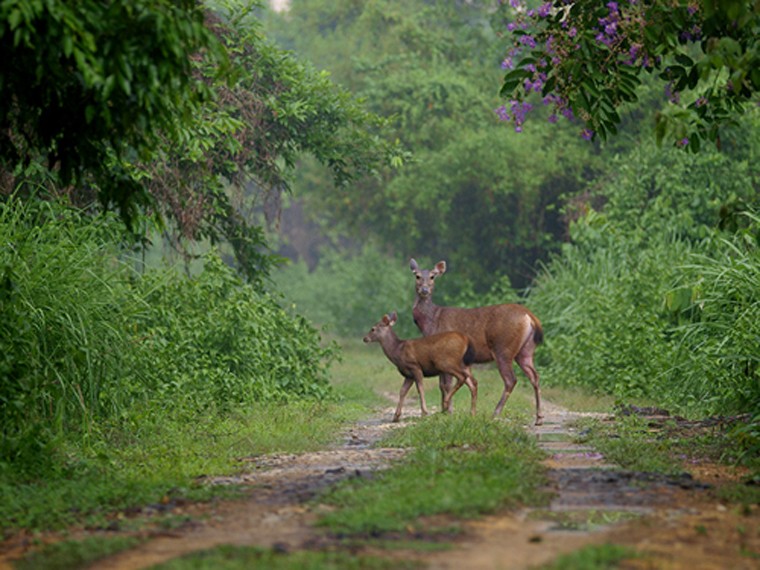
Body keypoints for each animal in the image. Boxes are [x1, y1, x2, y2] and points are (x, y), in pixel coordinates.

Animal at [412, 258, 544, 422]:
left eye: (432, 276)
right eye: (417, 276)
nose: (424, 290)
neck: (430, 322)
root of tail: (530, 316)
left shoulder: (445, 352)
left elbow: (445, 384)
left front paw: (448, 412)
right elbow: (442, 385)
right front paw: (445, 411)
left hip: (503, 347)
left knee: (511, 380)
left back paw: (495, 413)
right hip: (525, 350)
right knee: (534, 376)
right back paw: (539, 417)